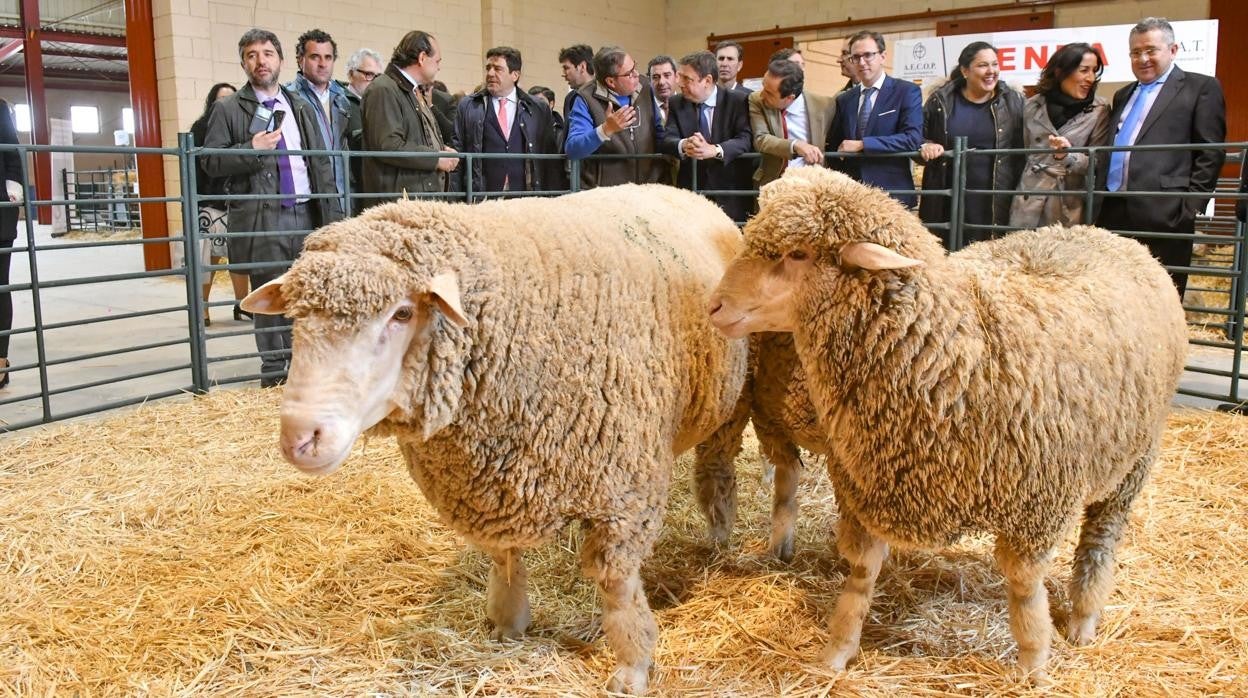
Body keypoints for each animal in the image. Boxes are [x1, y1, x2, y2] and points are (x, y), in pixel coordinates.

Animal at [243, 183, 748, 694]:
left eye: (402, 313)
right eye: (298, 317)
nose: (300, 437)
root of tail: (682, 190)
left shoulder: (625, 490)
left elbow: (618, 585)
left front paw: (632, 663)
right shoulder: (495, 478)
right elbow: (505, 556)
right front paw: (508, 620)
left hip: (730, 404)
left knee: (716, 469)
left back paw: (719, 532)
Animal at [708, 168, 1183, 684]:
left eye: (798, 254)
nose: (714, 307)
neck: (953, 353)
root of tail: (1105, 234)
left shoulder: (1037, 506)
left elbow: (1025, 590)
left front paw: (1035, 663)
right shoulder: (871, 487)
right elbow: (861, 575)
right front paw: (837, 651)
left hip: (1134, 461)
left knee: (1101, 538)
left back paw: (1082, 618)